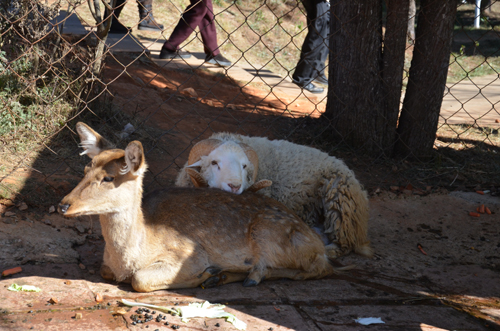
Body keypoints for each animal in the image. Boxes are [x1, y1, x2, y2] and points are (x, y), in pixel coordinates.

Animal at [176, 133, 372, 260]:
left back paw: (328, 250)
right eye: (214, 162)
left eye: (244, 166)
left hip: (340, 202)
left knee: (346, 244)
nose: (235, 186)